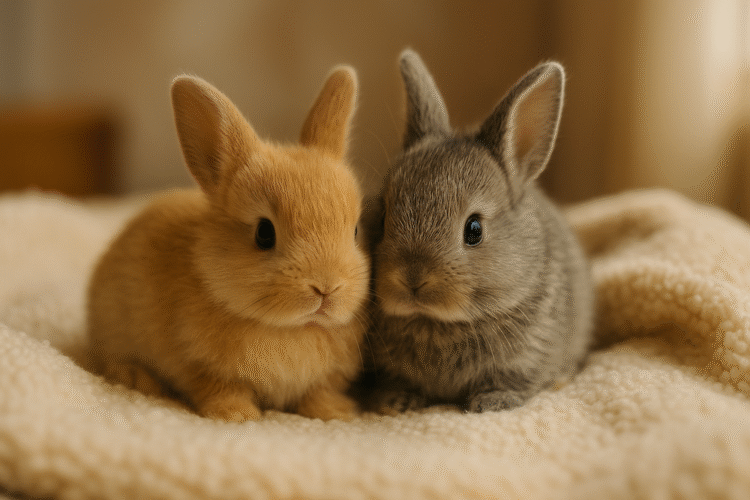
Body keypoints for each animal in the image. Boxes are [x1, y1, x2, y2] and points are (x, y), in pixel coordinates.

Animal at [87, 66, 370, 422]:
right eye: (264, 233)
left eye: (356, 231)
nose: (326, 288)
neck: (291, 329)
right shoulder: (199, 366)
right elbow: (220, 388)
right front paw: (237, 415)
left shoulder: (322, 380)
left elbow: (318, 392)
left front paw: (336, 413)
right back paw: (138, 379)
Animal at [360, 49, 594, 414]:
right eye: (383, 217)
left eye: (474, 229)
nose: (412, 278)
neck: (438, 320)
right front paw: (396, 402)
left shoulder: (526, 359)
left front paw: (492, 403)